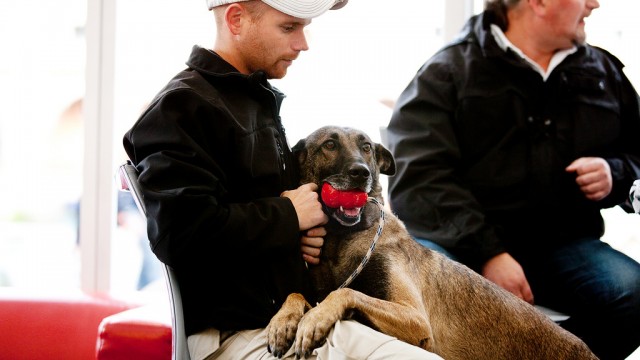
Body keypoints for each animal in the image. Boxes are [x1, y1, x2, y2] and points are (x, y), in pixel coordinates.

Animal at [264, 125, 596, 358]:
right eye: (329, 145)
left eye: (367, 147)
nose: (360, 173)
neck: (344, 238)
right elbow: (298, 293)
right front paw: (282, 322)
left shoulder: (415, 319)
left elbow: (344, 293)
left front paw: (313, 320)